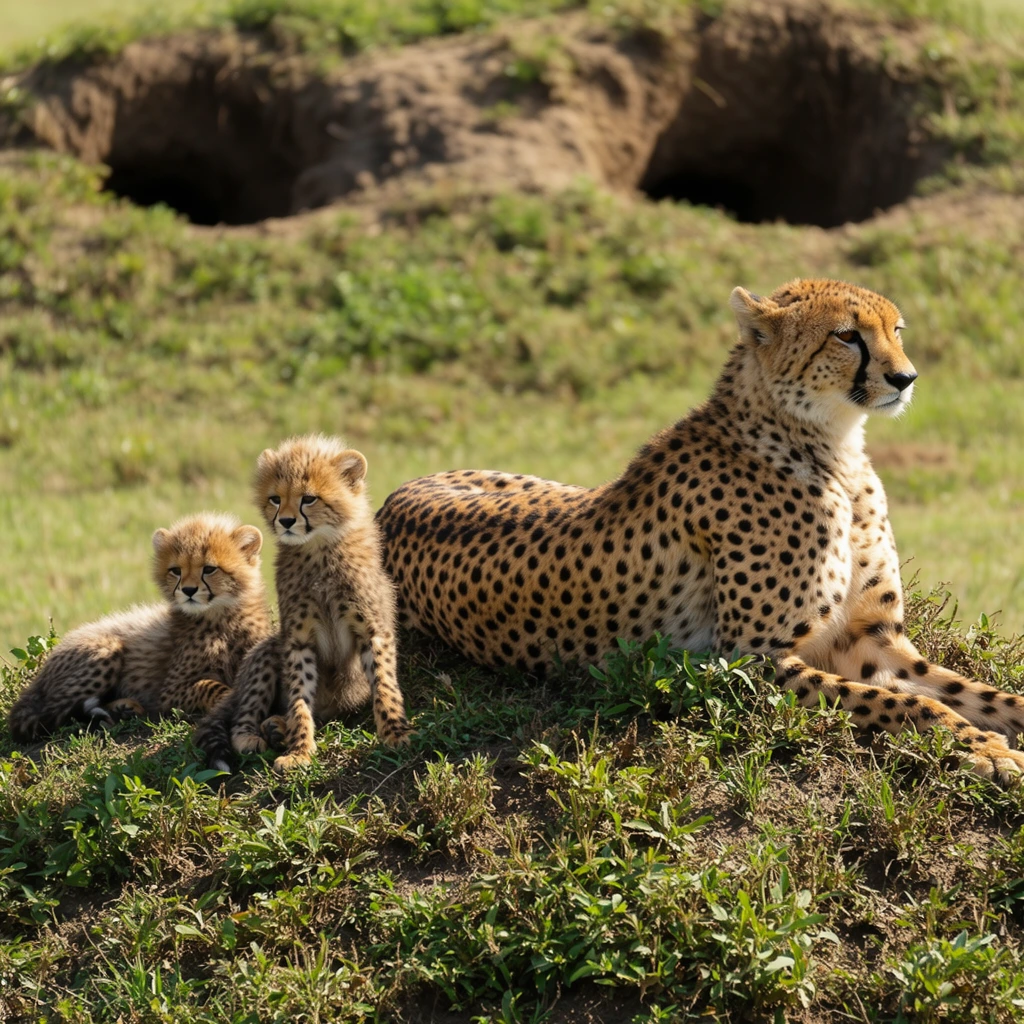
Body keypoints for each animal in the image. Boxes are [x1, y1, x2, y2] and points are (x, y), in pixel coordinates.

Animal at [8, 512, 272, 743]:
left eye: (209, 569)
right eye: (176, 570)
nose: (188, 590)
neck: (221, 618)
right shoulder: (169, 693)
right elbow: (213, 688)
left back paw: (123, 708)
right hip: (106, 647)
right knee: (50, 712)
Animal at [194, 434, 413, 773]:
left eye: (308, 499)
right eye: (274, 498)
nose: (285, 521)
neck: (319, 549)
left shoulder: (373, 631)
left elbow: (384, 684)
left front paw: (394, 732)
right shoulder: (297, 640)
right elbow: (299, 697)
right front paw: (300, 750)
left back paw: (276, 726)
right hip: (268, 650)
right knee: (245, 710)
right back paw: (257, 733)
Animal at [376, 278, 1024, 785]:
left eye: (897, 329)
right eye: (847, 335)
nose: (905, 377)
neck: (831, 449)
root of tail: (395, 495)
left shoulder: (874, 640)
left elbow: (973, 693)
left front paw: (996, 726)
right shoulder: (750, 661)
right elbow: (902, 704)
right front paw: (985, 749)